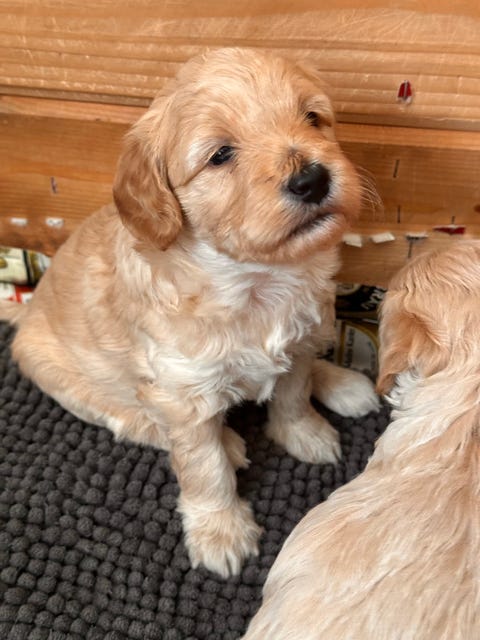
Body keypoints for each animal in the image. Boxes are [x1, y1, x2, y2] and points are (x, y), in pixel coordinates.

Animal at [0, 47, 378, 578]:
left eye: (312, 118)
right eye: (220, 155)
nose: (312, 179)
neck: (254, 279)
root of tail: (26, 312)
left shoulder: (300, 338)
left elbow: (293, 393)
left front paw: (303, 433)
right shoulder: (182, 392)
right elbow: (204, 468)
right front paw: (221, 531)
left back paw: (343, 383)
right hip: (60, 374)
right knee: (129, 418)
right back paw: (229, 442)